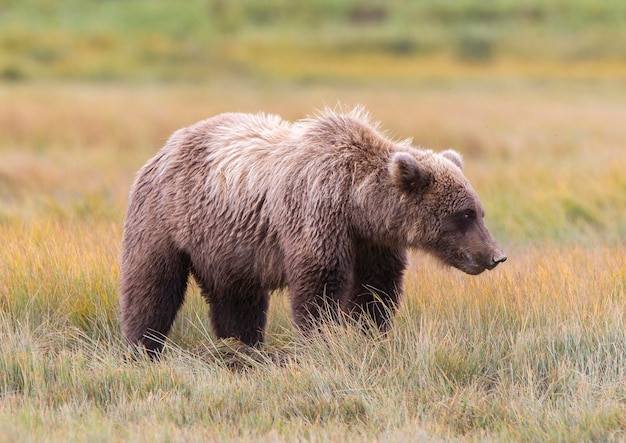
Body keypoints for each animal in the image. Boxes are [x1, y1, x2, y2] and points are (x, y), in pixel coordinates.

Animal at [119, 106, 504, 356]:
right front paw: (324, 339)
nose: (496, 255)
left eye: (479, 211)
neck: (357, 206)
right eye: (465, 214)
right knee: (152, 283)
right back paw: (143, 345)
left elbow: (374, 290)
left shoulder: (371, 243)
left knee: (237, 297)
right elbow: (320, 285)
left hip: (225, 243)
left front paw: (370, 334)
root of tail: (165, 147)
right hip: (165, 219)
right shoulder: (316, 213)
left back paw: (241, 344)